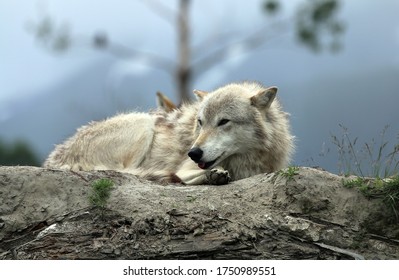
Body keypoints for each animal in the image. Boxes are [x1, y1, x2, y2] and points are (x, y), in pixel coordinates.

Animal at [44, 81, 294, 186]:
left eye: (223, 122)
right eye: (201, 122)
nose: (193, 152)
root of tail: (51, 161)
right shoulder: (186, 166)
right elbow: (183, 174)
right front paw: (212, 175)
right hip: (143, 123)